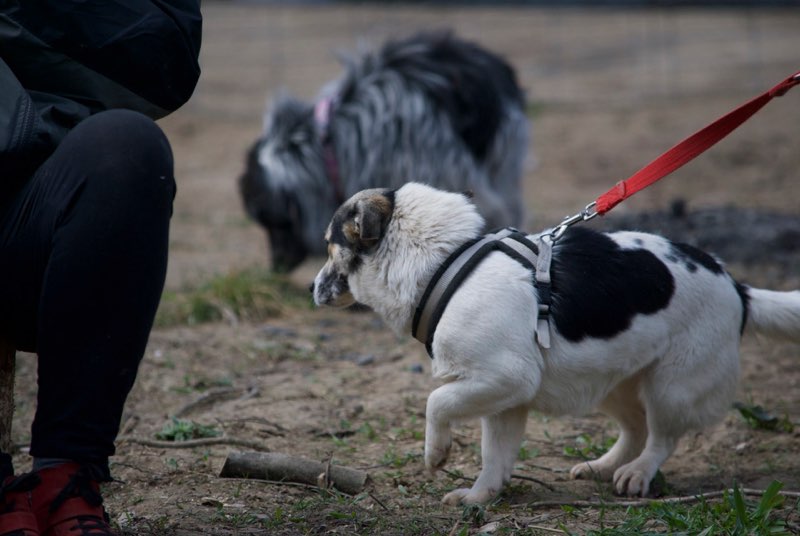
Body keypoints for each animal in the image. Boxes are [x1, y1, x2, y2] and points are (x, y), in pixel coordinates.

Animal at [314, 182, 800, 504]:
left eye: (329, 245)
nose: (312, 288)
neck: (443, 262)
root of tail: (737, 286)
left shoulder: (505, 380)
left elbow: (436, 402)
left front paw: (436, 454)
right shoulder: (505, 399)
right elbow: (495, 458)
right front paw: (478, 498)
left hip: (672, 386)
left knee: (661, 437)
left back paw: (637, 473)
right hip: (610, 378)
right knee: (636, 427)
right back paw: (603, 466)